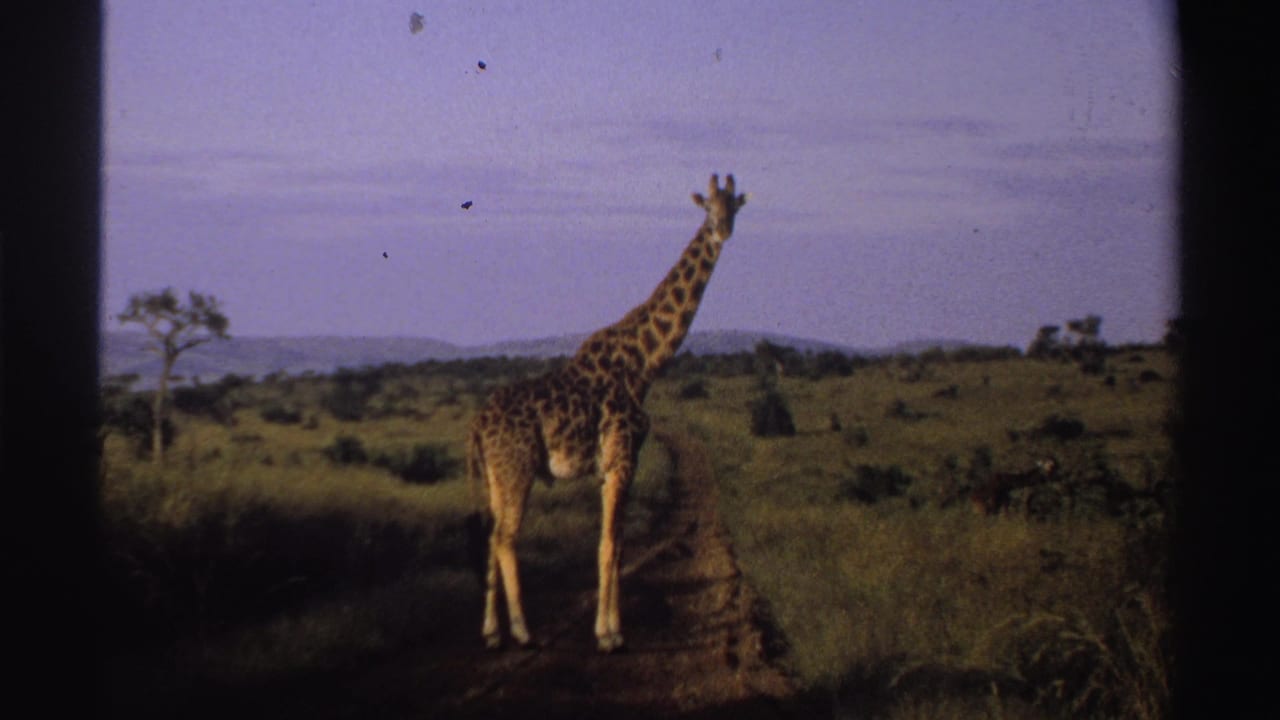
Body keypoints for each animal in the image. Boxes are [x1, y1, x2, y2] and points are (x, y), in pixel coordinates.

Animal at [467, 174, 747, 652]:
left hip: (494, 477)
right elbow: (610, 545)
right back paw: (522, 631)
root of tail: (477, 425)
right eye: (708, 208)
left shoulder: (613, 466)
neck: (645, 363)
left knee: (490, 536)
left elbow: (617, 545)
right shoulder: (621, 459)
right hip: (517, 469)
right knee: (505, 538)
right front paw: (609, 634)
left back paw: (491, 632)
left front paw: (611, 627)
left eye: (734, 207)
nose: (722, 231)